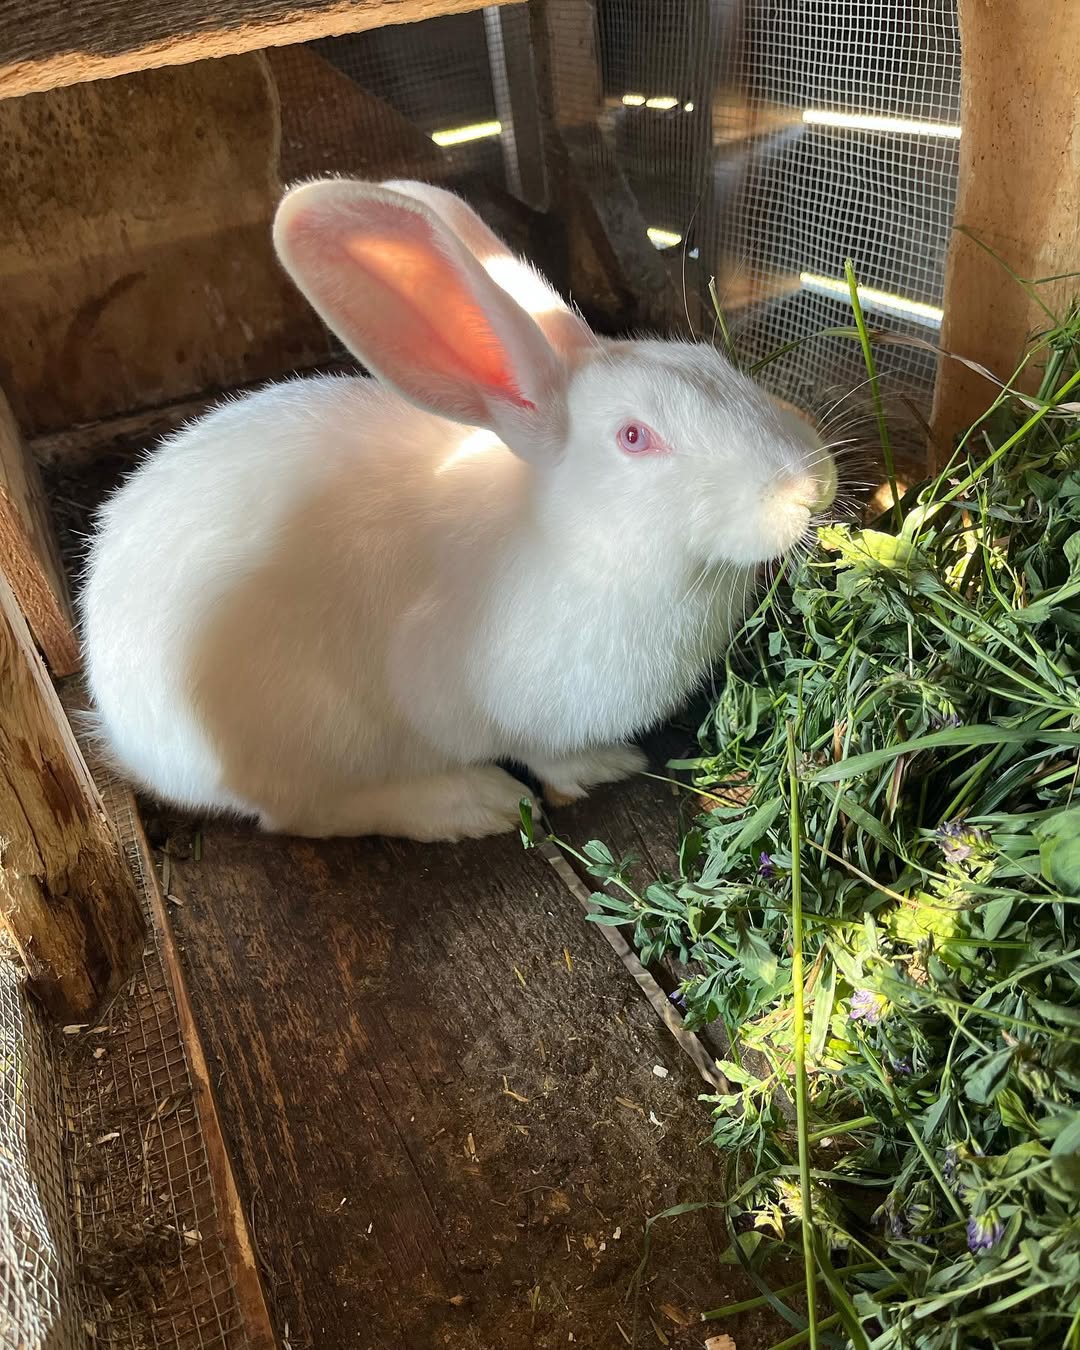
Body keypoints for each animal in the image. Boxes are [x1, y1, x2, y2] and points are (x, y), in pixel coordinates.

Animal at [80, 178, 837, 842]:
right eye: (634, 437)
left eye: (714, 362)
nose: (812, 486)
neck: (571, 540)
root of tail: (121, 727)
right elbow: (544, 754)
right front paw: (602, 767)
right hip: (314, 732)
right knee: (301, 813)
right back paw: (470, 803)